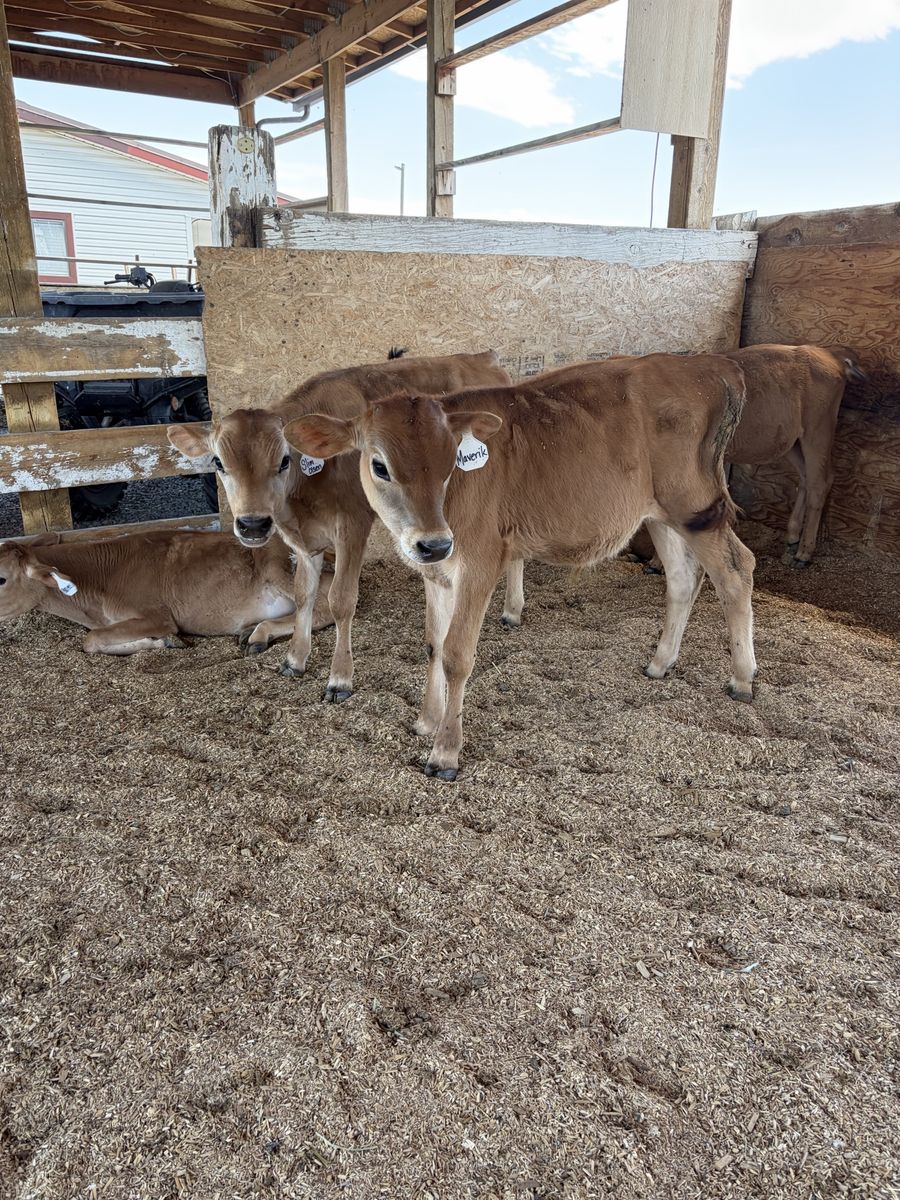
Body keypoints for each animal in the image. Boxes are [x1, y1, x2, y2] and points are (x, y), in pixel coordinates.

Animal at [0, 530, 331, 656]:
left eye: (1, 579)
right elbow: (94, 641)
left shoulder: (156, 616)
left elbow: (91, 640)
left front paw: (164, 641)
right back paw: (249, 630)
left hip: (278, 567)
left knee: (321, 608)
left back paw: (260, 633)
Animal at [167, 350, 521, 703]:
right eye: (218, 462)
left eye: (284, 461)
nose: (253, 524)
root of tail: (483, 357)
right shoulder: (301, 540)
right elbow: (303, 594)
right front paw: (295, 659)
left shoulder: (352, 526)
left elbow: (341, 600)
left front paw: (339, 678)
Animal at [283, 353, 758, 780]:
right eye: (380, 465)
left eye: (450, 465)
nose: (433, 542)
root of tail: (714, 366)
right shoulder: (436, 572)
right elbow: (434, 642)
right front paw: (426, 720)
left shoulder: (480, 561)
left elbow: (457, 654)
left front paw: (445, 752)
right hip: (659, 513)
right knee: (682, 578)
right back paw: (660, 662)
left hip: (695, 505)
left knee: (736, 570)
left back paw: (742, 679)